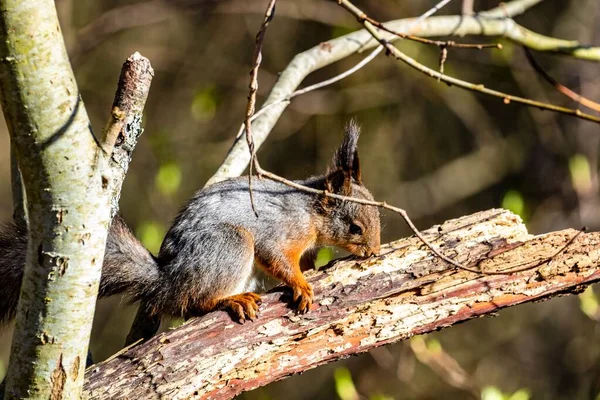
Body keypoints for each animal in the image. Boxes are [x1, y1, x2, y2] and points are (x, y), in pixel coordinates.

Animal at [0, 121, 382, 324]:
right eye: (355, 227)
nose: (374, 252)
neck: (309, 212)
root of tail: (167, 281)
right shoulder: (278, 231)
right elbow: (278, 259)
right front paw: (301, 284)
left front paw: (311, 268)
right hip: (229, 246)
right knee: (195, 303)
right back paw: (231, 300)